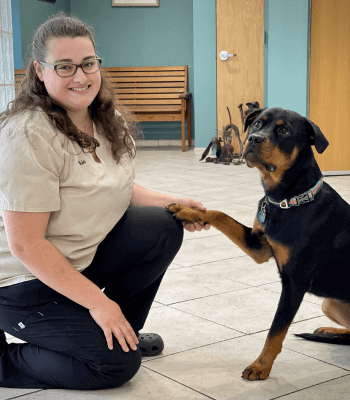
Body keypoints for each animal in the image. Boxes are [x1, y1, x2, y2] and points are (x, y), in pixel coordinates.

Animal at [165, 107, 350, 382]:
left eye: (284, 130)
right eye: (257, 124)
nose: (253, 139)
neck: (289, 199)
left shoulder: (294, 283)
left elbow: (275, 331)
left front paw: (260, 366)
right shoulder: (260, 247)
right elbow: (220, 215)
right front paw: (187, 210)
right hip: (331, 302)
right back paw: (329, 330)